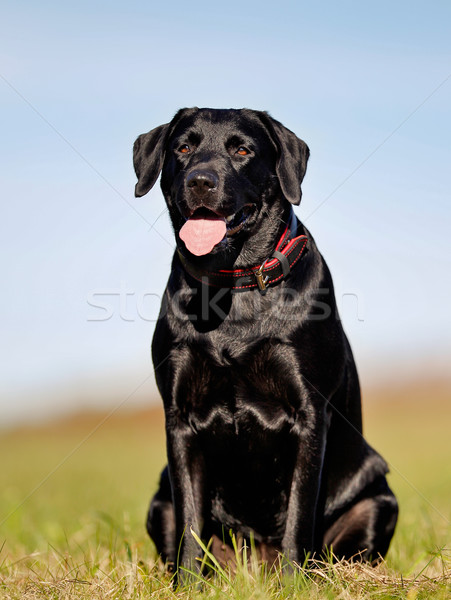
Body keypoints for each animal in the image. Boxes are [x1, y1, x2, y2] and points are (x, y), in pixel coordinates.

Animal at [132, 109, 398, 580]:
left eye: (242, 149)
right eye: (183, 147)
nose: (201, 180)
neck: (232, 287)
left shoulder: (308, 414)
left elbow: (298, 516)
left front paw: (295, 582)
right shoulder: (179, 418)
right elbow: (190, 524)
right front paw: (187, 584)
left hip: (378, 500)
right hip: (158, 502)